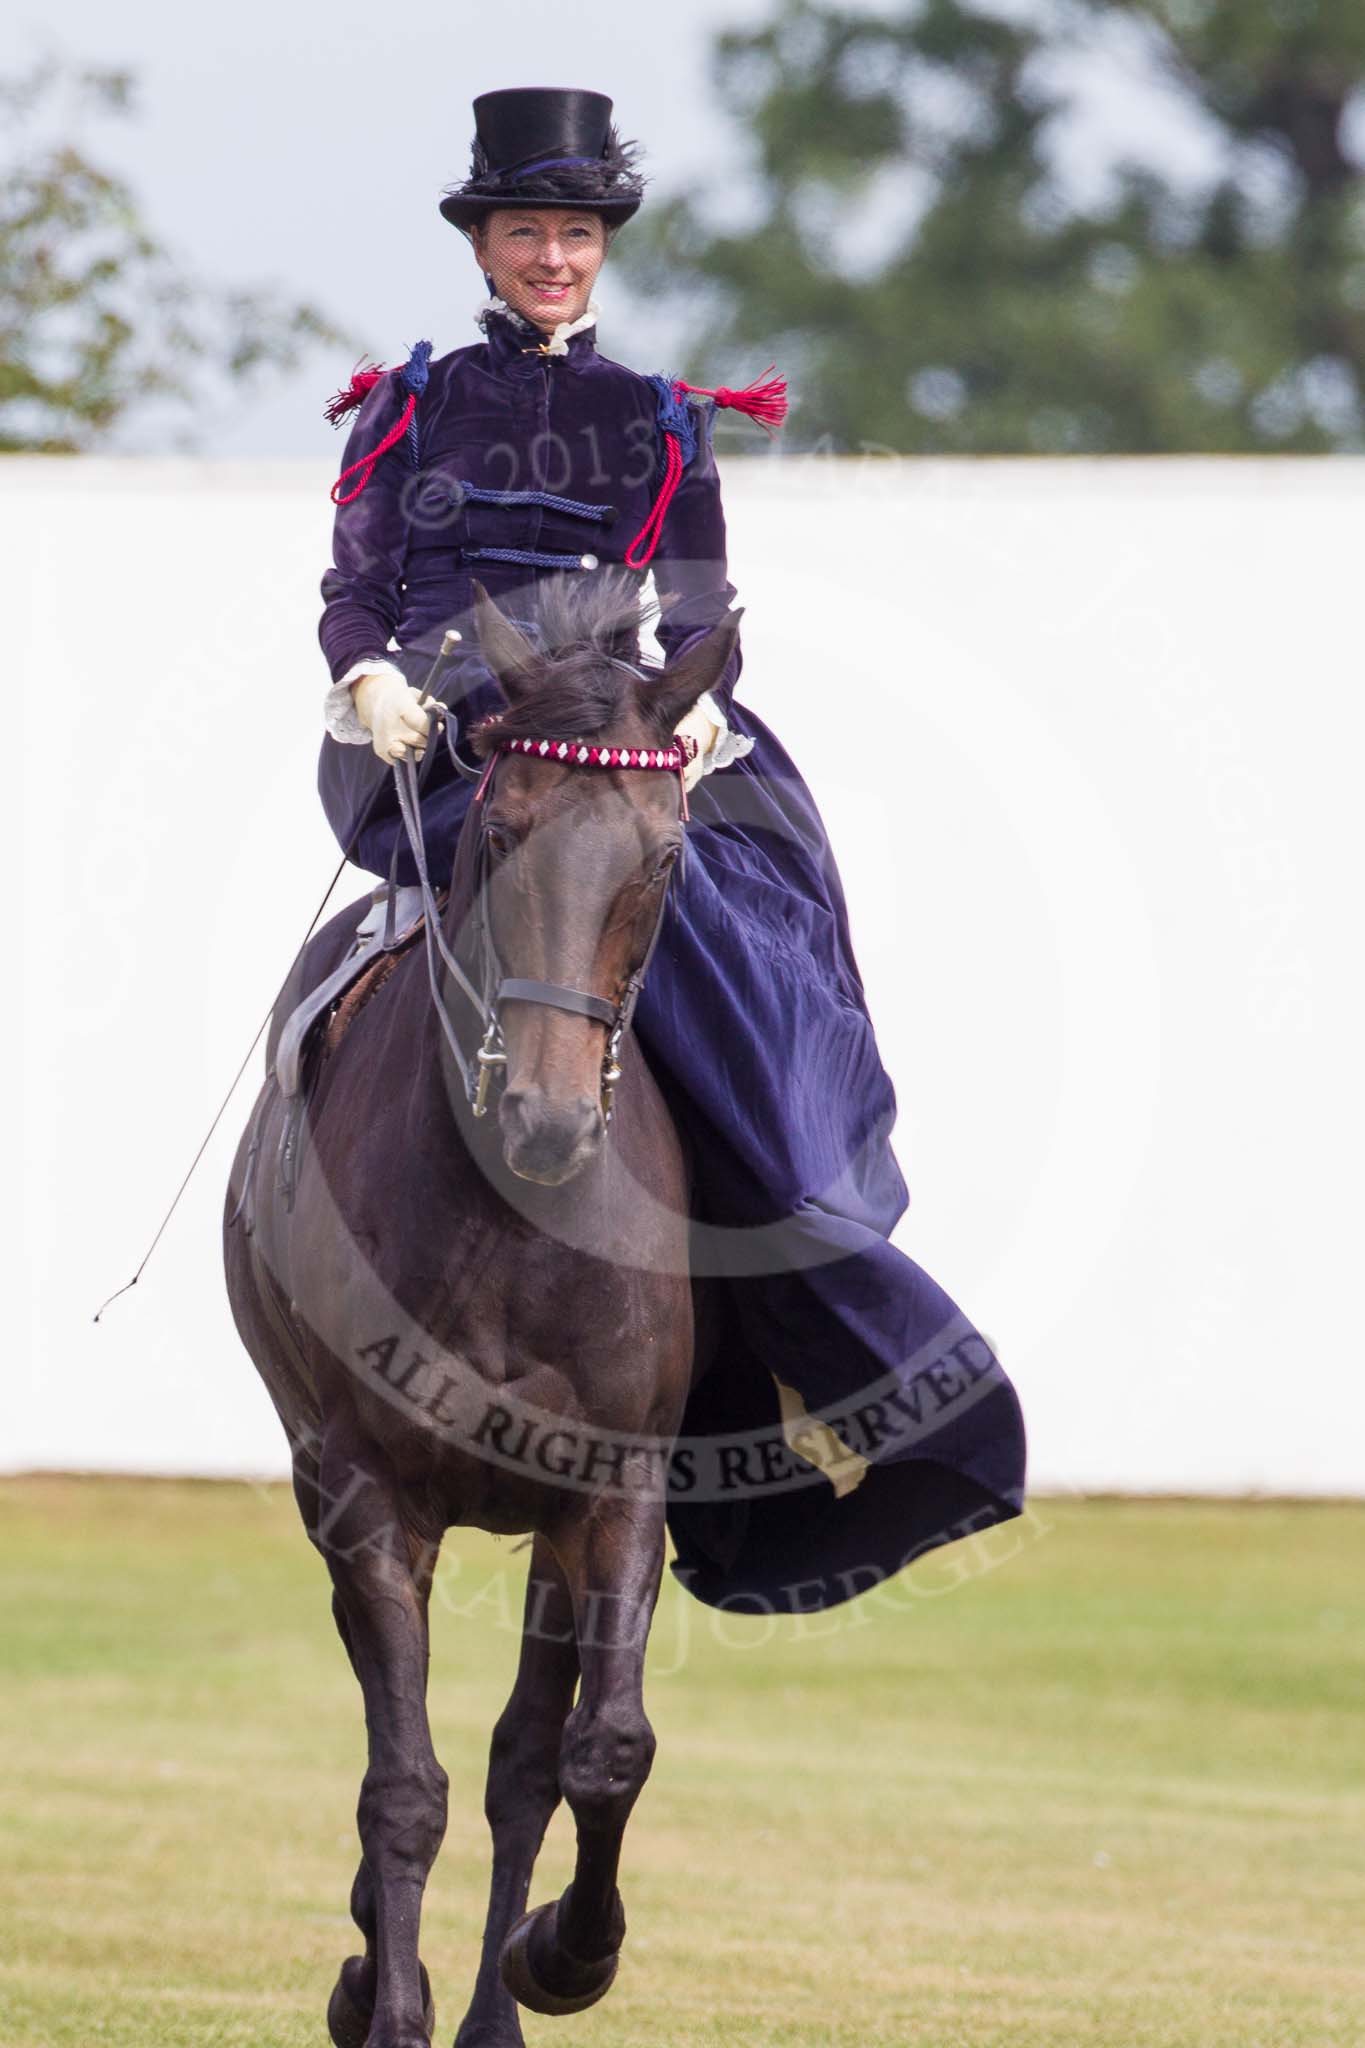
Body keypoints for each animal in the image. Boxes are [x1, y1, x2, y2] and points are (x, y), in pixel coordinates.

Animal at [224, 577, 740, 2048]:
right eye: (499, 830)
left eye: (665, 859)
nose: (548, 1121)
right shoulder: (366, 1493)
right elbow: (403, 1782)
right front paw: (389, 2001)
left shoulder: (612, 1488)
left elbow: (596, 1750)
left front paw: (563, 1956)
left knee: (526, 1759)